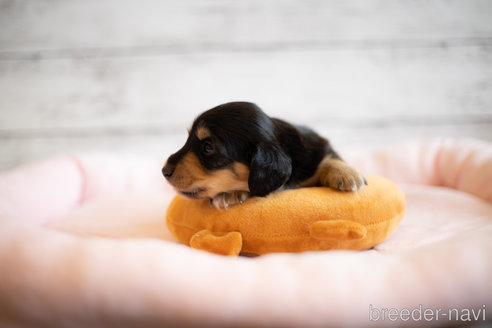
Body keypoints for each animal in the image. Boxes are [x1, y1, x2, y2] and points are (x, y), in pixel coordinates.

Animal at [162, 101, 366, 209]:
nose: (164, 171)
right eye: (188, 139)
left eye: (207, 147)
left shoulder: (316, 147)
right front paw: (232, 192)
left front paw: (348, 175)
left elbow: (329, 158)